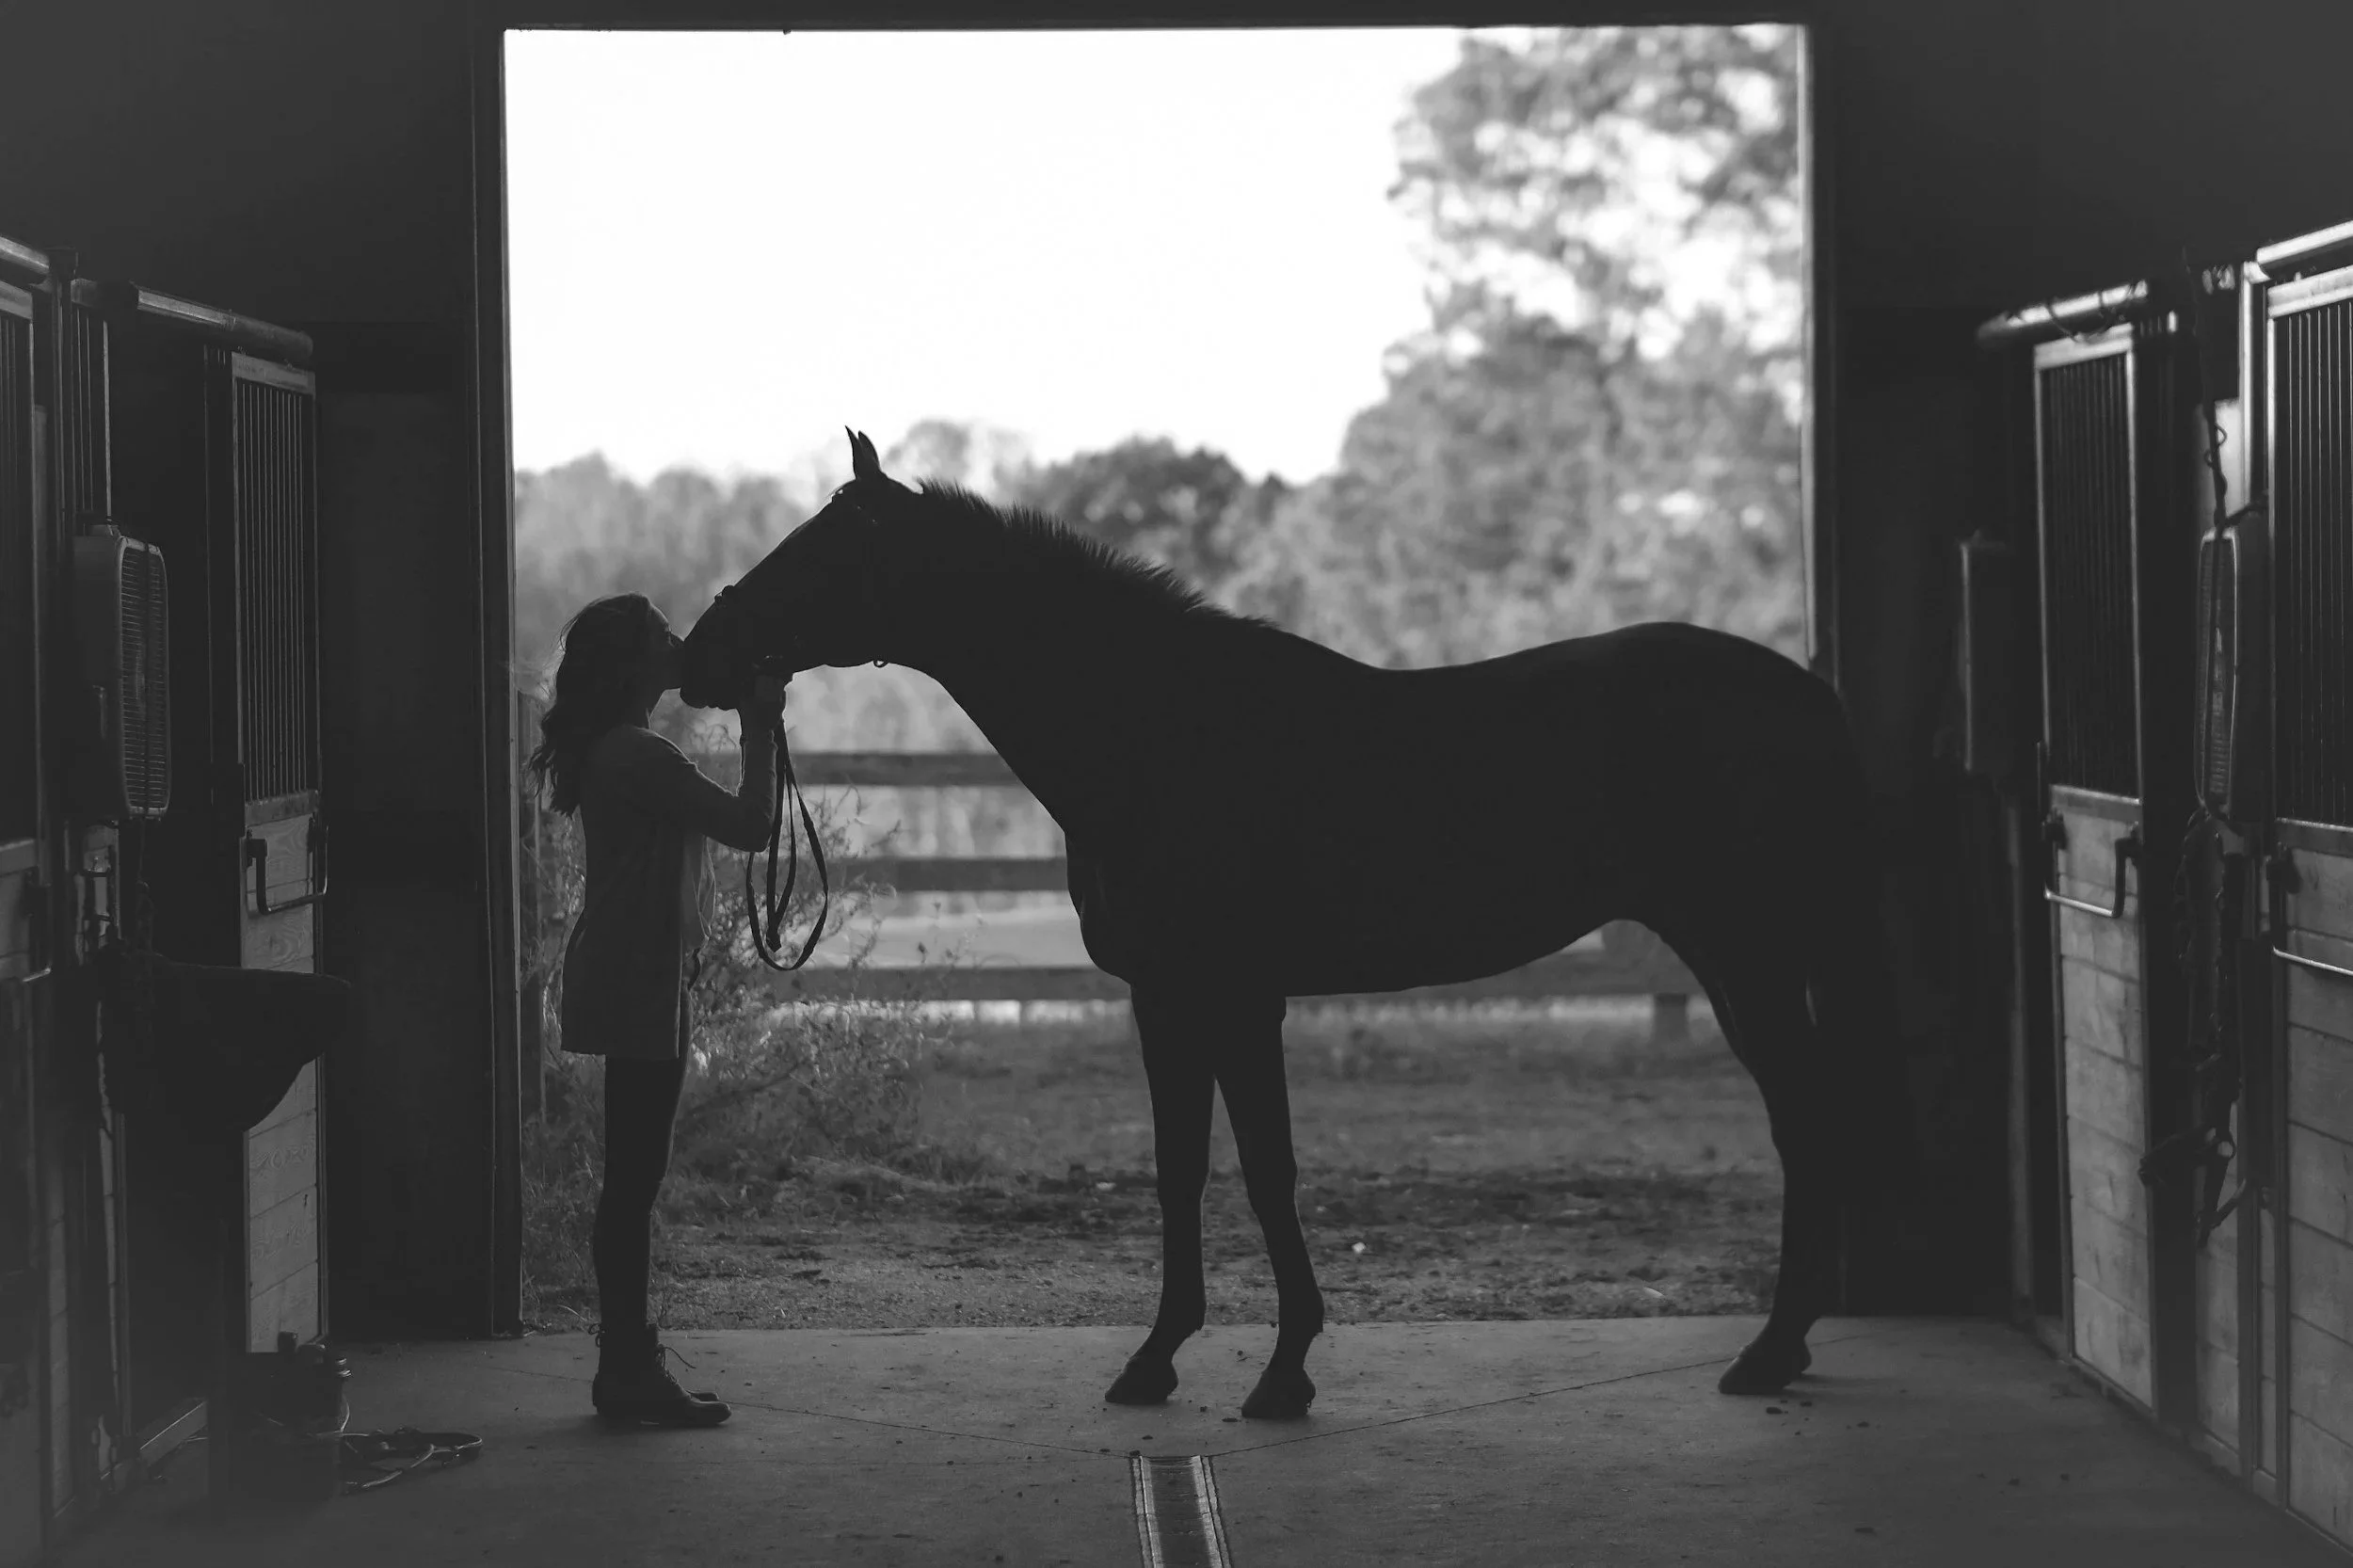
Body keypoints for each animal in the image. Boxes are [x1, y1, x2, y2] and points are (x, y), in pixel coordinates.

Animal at [680, 429, 1902, 1421]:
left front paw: (1283, 1371)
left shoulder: (1236, 994)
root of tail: (1806, 693)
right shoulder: (1163, 996)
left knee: (1808, 1120)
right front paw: (1156, 1360)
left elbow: (1267, 1168)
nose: (698, 656)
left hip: (1746, 953)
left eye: (818, 551)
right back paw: (1782, 1349)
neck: (1160, 731)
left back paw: (1769, 1351)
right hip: (1737, 959)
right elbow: (1179, 1168)